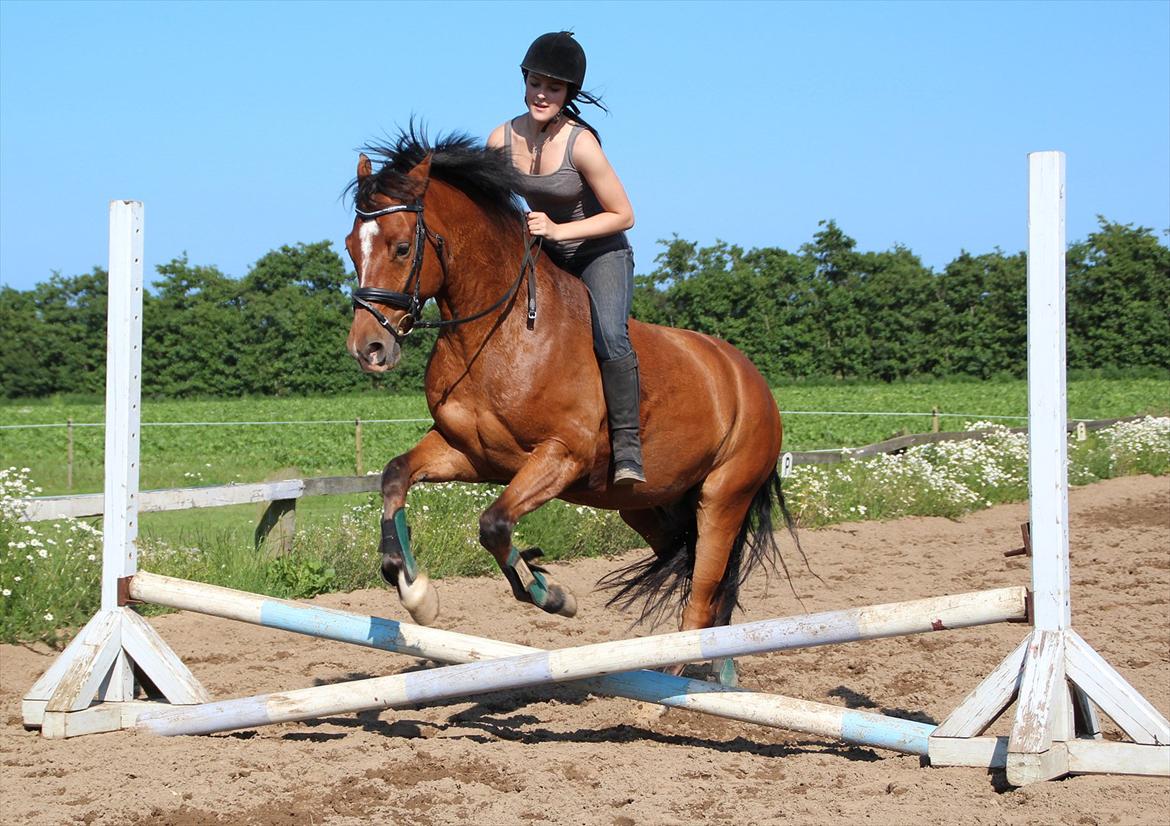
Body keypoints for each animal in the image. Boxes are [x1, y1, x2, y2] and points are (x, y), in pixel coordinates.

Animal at [344, 130, 798, 666]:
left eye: (399, 247)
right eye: (351, 247)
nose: (368, 348)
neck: (501, 333)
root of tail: (751, 379)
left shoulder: (562, 455)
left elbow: (494, 523)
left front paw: (553, 594)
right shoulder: (469, 452)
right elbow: (396, 476)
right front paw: (415, 591)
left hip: (724, 496)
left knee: (704, 593)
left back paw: (689, 669)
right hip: (647, 504)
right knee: (693, 570)